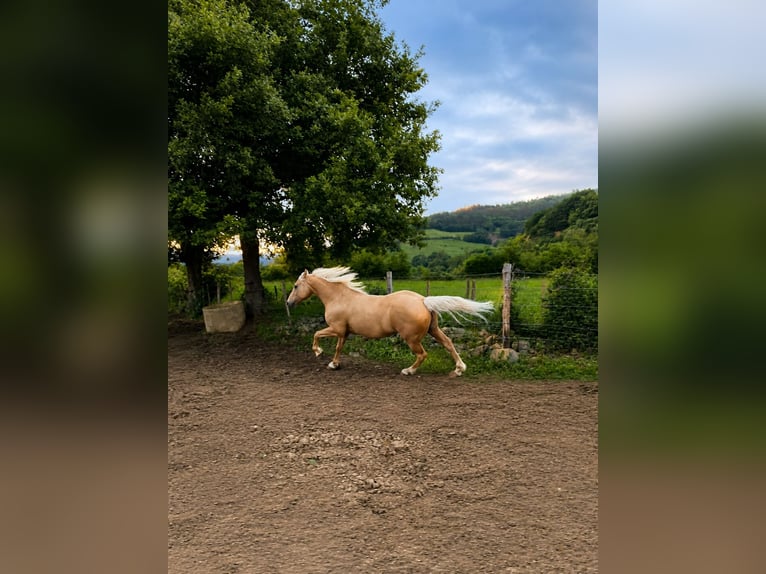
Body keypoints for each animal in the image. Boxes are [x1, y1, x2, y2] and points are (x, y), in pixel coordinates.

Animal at [286, 267, 494, 377]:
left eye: (295, 286)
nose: (288, 303)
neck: (338, 298)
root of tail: (423, 300)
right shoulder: (343, 332)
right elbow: (338, 348)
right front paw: (334, 364)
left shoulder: (335, 328)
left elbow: (316, 334)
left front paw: (318, 352)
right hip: (433, 330)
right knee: (449, 344)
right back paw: (459, 369)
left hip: (411, 338)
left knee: (422, 354)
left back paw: (408, 370)